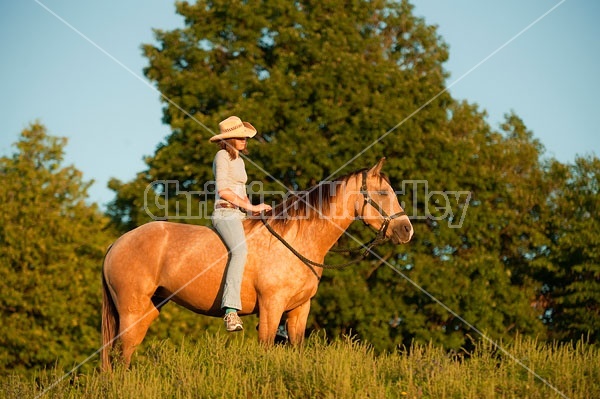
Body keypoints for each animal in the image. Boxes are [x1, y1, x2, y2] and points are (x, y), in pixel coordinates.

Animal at [102, 158, 412, 370]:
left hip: (146, 311)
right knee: (119, 356)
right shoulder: (271, 307)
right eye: (383, 193)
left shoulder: (299, 310)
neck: (296, 240)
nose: (406, 229)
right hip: (132, 312)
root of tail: (117, 244)